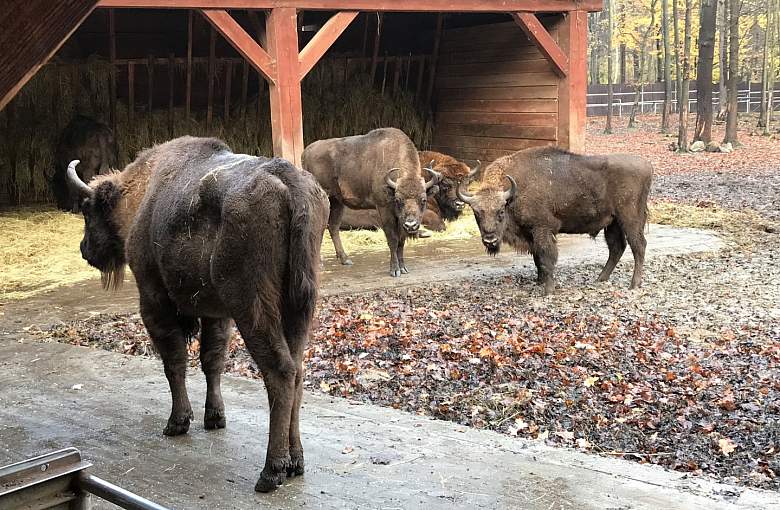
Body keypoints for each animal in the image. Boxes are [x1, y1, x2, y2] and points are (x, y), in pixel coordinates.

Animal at [66, 136, 330, 494]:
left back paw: (271, 472)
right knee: (298, 373)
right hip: (299, 308)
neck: (141, 192)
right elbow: (212, 361)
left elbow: (174, 362)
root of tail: (289, 181)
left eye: (87, 209)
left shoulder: (155, 302)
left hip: (253, 309)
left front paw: (178, 422)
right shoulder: (216, 314)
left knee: (280, 372)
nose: (84, 249)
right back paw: (296, 462)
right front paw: (214, 417)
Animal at [302, 129, 442, 276]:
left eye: (423, 200)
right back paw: (319, 264)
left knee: (333, 227)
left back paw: (345, 259)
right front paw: (395, 270)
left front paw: (403, 268)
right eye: (398, 199)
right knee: (318, 229)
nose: (411, 225)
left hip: (337, 201)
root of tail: (306, 152)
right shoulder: (384, 209)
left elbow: (401, 241)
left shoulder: (400, 220)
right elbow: (393, 239)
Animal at [458, 145, 652, 294]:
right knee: (617, 247)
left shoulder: (542, 229)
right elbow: (537, 258)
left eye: (500, 211)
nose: (490, 240)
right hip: (612, 223)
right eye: (476, 213)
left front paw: (548, 290)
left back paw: (634, 284)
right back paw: (600, 278)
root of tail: (646, 165)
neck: (513, 194)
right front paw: (540, 281)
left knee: (638, 246)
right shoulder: (532, 234)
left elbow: (546, 257)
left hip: (630, 219)